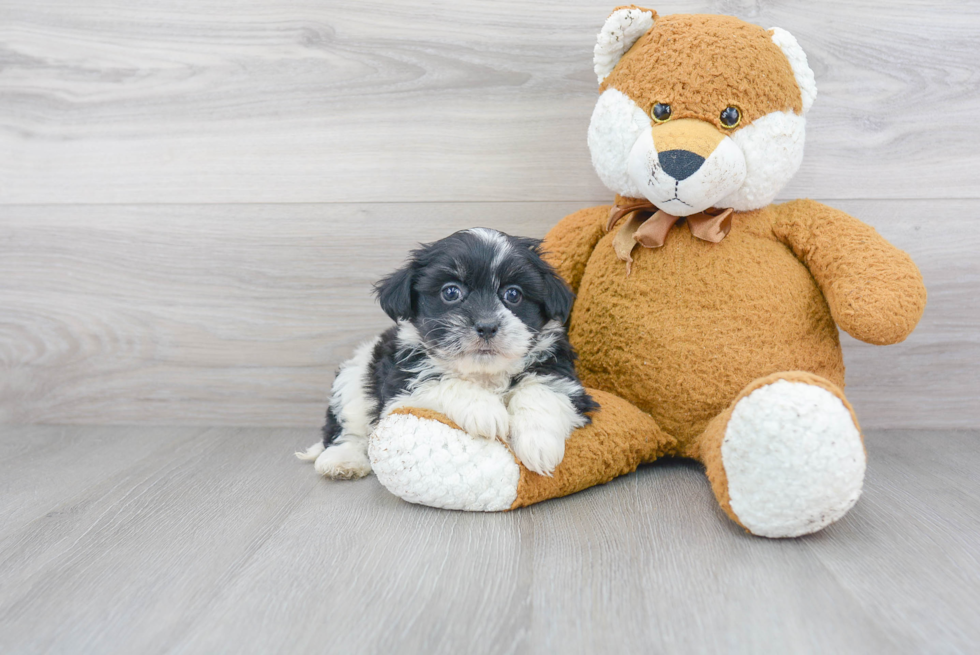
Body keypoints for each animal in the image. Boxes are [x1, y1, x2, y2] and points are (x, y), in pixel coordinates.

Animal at [294, 228, 596, 480]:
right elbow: (442, 381)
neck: (484, 374)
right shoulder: (402, 389)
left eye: (513, 294)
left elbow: (542, 391)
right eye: (451, 292)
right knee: (348, 429)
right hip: (354, 379)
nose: (487, 326)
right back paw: (342, 460)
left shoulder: (561, 375)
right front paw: (485, 410)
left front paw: (539, 444)